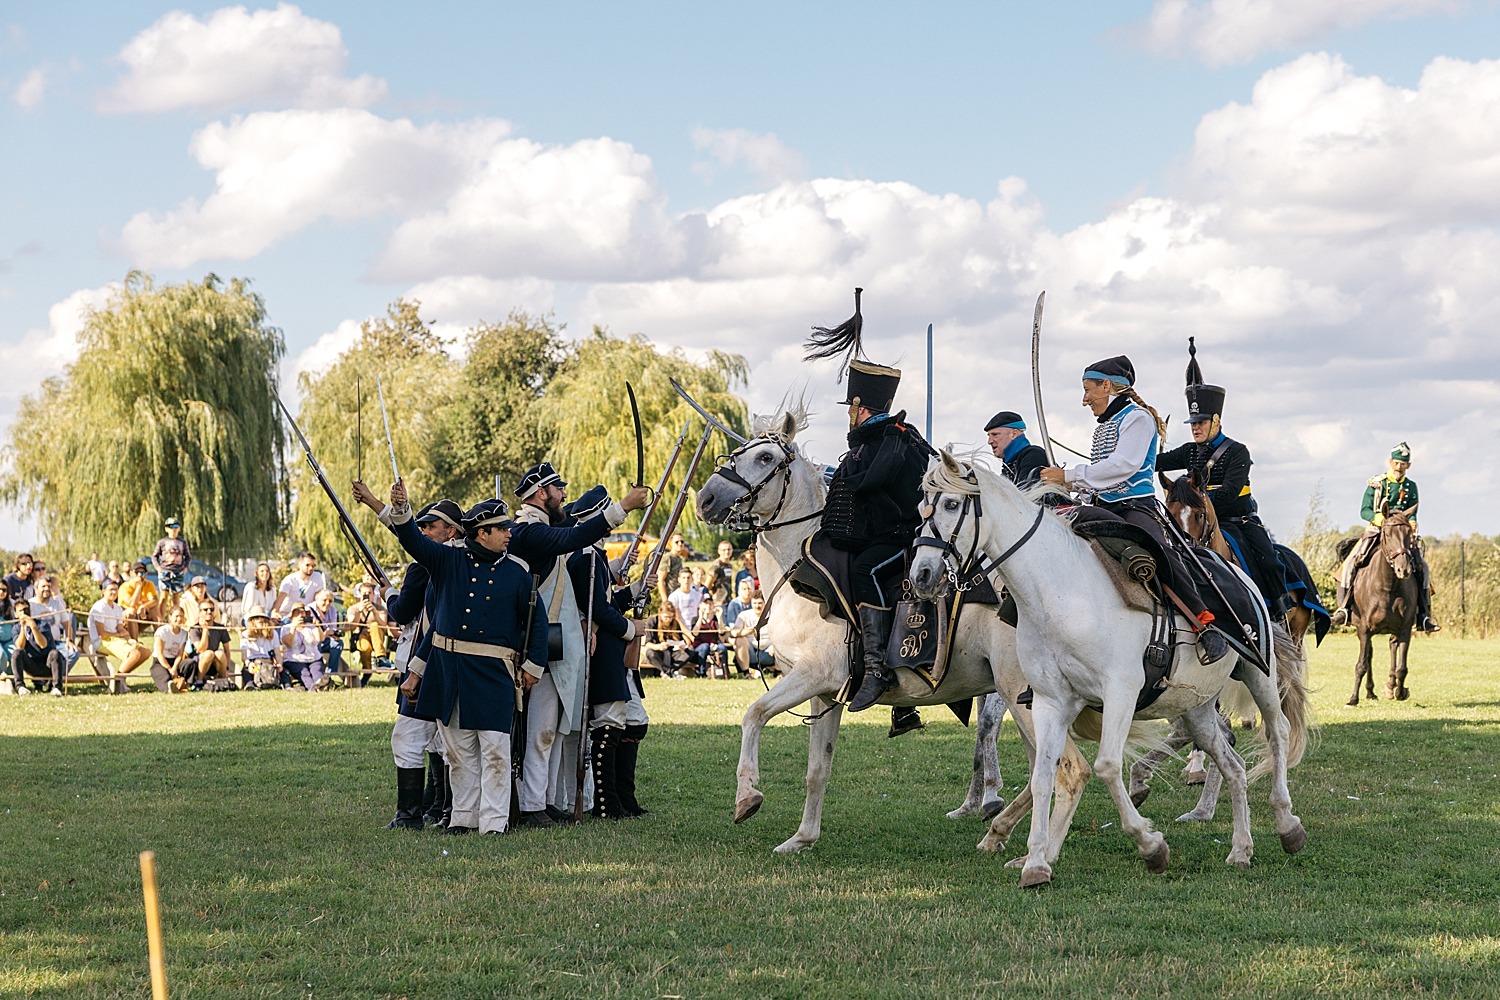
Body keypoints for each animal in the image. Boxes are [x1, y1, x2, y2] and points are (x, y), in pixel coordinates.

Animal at [690, 410, 1092, 857]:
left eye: (764, 458)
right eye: (738, 453)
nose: (706, 499)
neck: (798, 569)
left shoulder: (810, 676)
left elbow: (754, 714)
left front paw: (748, 796)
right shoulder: (824, 694)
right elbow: (817, 768)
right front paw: (802, 837)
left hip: (1019, 693)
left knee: (1062, 766)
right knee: (1043, 765)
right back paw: (999, 830)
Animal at [900, 449, 1314, 887]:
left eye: (951, 504)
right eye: (922, 508)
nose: (921, 575)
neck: (1059, 592)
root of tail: (1239, 573)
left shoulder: (1120, 692)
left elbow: (1106, 766)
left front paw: (1151, 847)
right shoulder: (1048, 701)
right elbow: (1044, 776)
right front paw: (1035, 863)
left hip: (1260, 674)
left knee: (1276, 732)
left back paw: (1287, 825)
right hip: (1196, 703)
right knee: (1232, 765)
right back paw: (1240, 849)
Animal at [1344, 512, 1422, 707]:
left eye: (1409, 535)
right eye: (1387, 534)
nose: (1404, 569)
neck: (1388, 586)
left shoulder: (1405, 629)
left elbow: (1402, 667)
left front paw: (1400, 692)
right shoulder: (1364, 629)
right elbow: (1361, 665)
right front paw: (1353, 699)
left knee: (1392, 646)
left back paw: (1389, 686)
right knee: (1369, 655)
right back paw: (1370, 691)